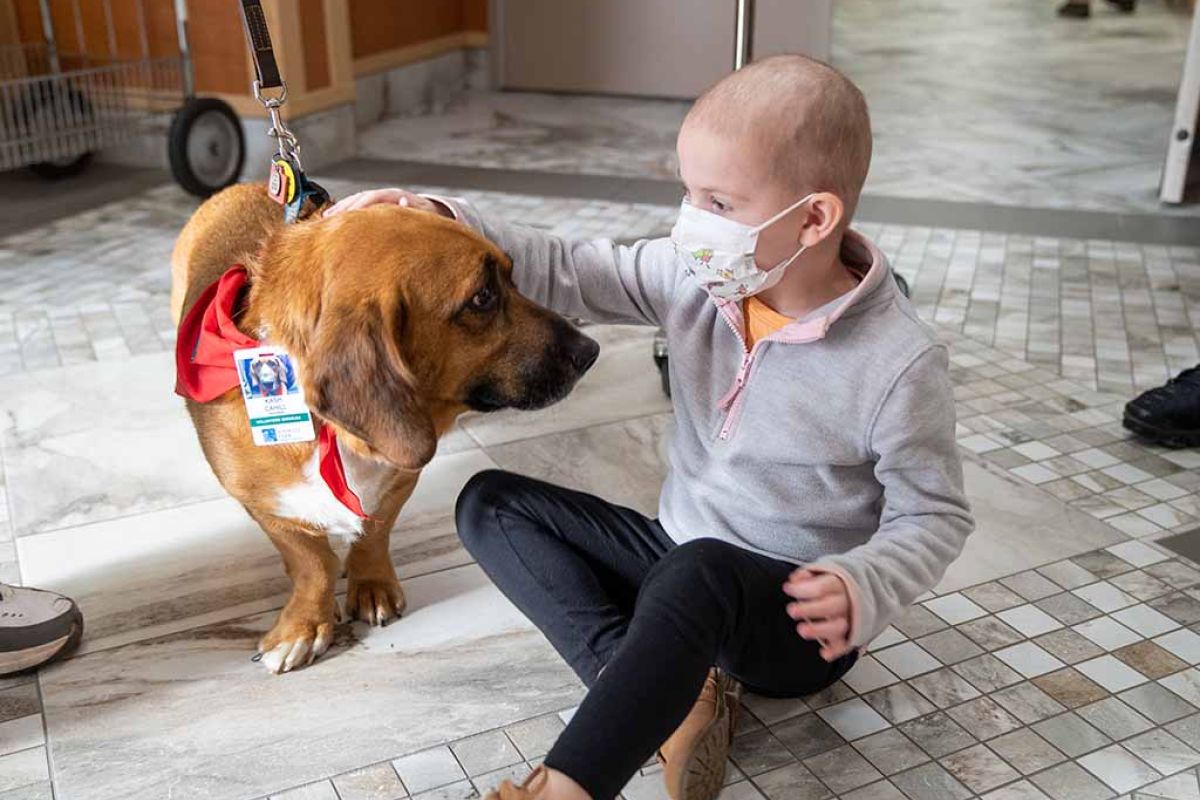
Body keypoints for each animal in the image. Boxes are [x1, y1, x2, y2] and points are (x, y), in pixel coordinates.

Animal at [169, 184, 600, 671]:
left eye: (512, 275)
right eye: (482, 297)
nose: (590, 350)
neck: (333, 434)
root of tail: (242, 187)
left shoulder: (400, 479)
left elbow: (375, 533)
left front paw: (370, 584)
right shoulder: (267, 507)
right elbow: (311, 563)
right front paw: (304, 626)